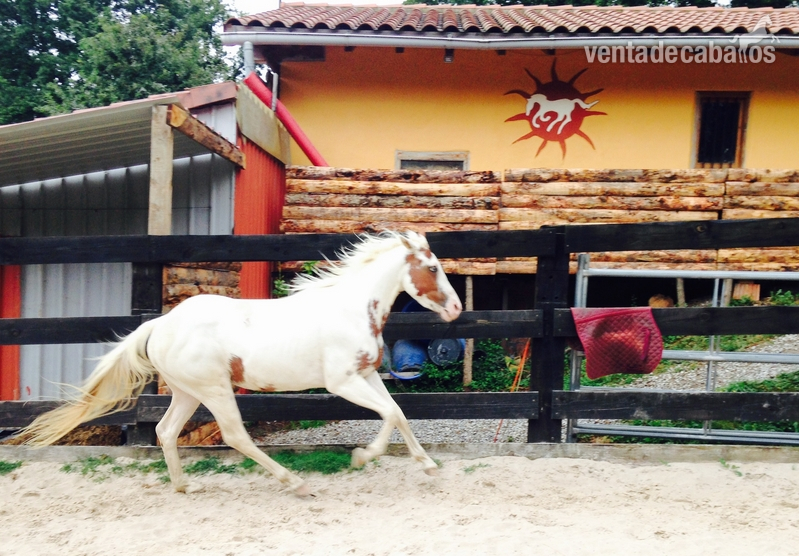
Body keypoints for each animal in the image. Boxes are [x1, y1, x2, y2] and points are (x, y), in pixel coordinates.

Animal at [21, 231, 463, 496]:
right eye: (433, 267)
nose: (457, 309)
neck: (351, 309)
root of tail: (160, 324)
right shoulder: (343, 382)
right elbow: (388, 415)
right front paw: (361, 457)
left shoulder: (368, 373)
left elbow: (398, 412)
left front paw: (429, 466)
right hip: (214, 389)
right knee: (235, 436)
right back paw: (296, 484)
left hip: (186, 392)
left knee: (165, 431)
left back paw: (185, 487)